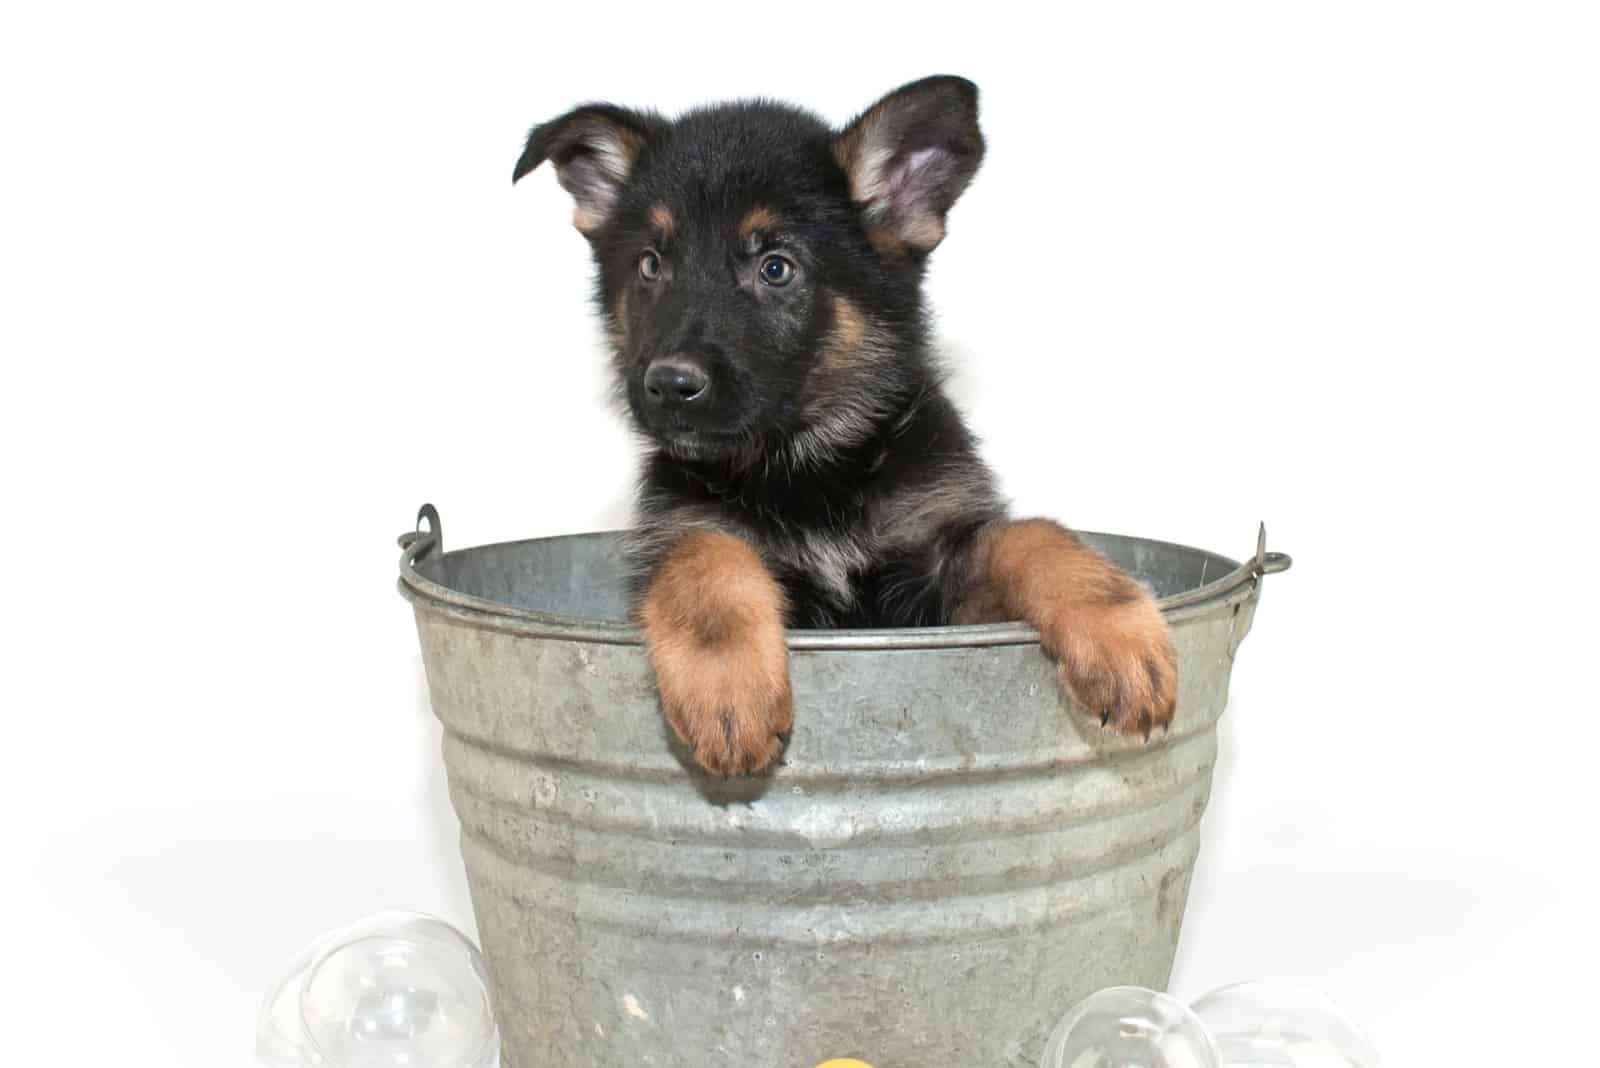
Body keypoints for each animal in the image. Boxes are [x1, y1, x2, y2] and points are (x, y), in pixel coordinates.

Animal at [515, 75, 1177, 777]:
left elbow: (1028, 535)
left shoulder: (936, 591)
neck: (808, 464)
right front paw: (727, 688)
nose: (669, 386)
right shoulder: (683, 528)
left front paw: (1120, 635)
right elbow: (704, 556)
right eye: (649, 264)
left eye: (776, 267)